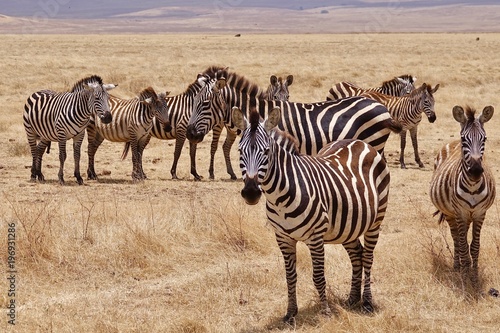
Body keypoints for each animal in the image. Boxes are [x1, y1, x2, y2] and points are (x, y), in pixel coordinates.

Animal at [232, 107, 392, 322]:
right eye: (240, 151)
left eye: (266, 151)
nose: (250, 192)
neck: (279, 196)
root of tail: (360, 142)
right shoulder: (283, 237)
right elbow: (290, 276)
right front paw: (290, 313)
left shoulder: (315, 237)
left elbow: (318, 276)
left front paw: (325, 312)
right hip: (348, 224)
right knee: (357, 254)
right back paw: (352, 298)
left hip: (376, 219)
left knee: (367, 256)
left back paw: (366, 302)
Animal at [428, 104, 494, 286]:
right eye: (465, 139)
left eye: (484, 139)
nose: (476, 171)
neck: (472, 186)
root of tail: (453, 142)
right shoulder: (460, 212)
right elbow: (463, 245)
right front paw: (465, 276)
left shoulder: (480, 213)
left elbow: (475, 246)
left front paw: (474, 276)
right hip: (450, 213)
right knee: (456, 237)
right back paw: (457, 266)